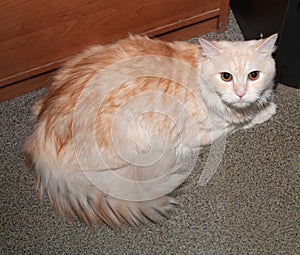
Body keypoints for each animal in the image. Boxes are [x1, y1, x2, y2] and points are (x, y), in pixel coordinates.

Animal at [24, 33, 278, 227]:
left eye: (253, 75)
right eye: (226, 77)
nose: (241, 94)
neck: (199, 76)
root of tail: (41, 138)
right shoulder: (200, 133)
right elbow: (238, 122)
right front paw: (265, 111)